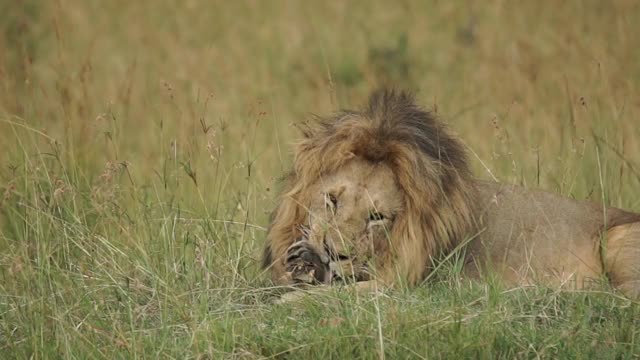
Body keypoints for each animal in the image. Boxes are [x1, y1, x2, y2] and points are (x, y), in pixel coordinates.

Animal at [262, 88, 640, 296]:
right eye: (332, 200)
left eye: (377, 218)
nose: (331, 254)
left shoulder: (408, 283)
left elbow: (339, 295)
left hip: (618, 239)